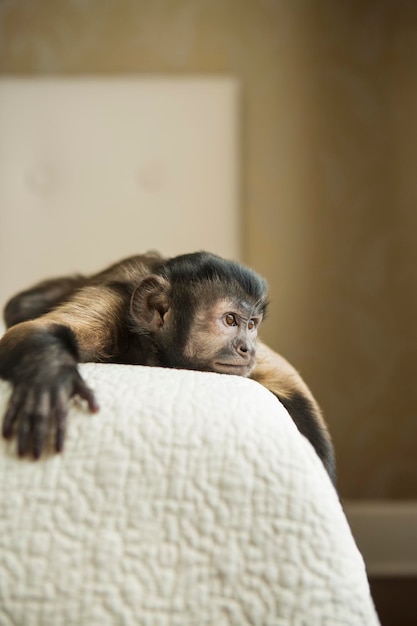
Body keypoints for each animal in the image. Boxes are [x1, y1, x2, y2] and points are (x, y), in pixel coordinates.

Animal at [0, 252, 334, 482]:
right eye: (230, 320)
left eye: (252, 325)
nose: (247, 348)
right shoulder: (113, 302)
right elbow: (33, 330)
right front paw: (48, 374)